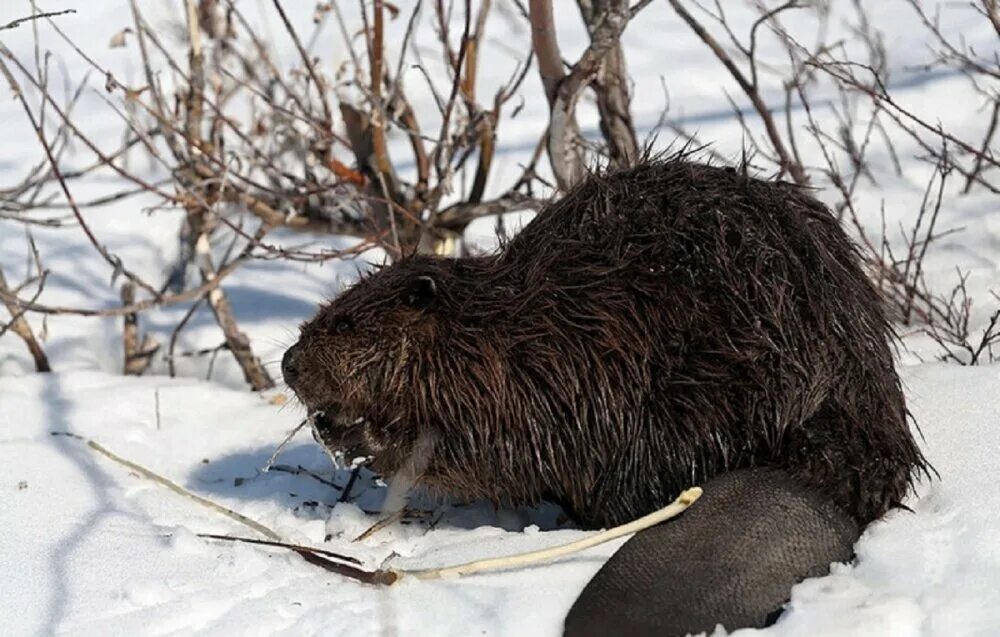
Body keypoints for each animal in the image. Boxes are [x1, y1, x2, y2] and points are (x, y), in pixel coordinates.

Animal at [280, 157, 928, 632]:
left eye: (343, 323)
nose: (287, 365)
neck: (494, 327)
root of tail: (813, 477)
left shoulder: (538, 376)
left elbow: (483, 448)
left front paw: (351, 433)